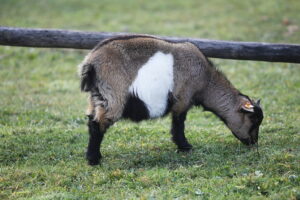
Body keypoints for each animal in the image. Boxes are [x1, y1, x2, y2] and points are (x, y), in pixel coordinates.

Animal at [78, 35, 264, 165]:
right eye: (253, 119)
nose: (253, 142)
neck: (205, 80)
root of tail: (91, 63)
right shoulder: (183, 99)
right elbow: (178, 124)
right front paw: (185, 147)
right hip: (114, 98)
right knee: (98, 125)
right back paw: (94, 160)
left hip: (97, 97)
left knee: (91, 121)